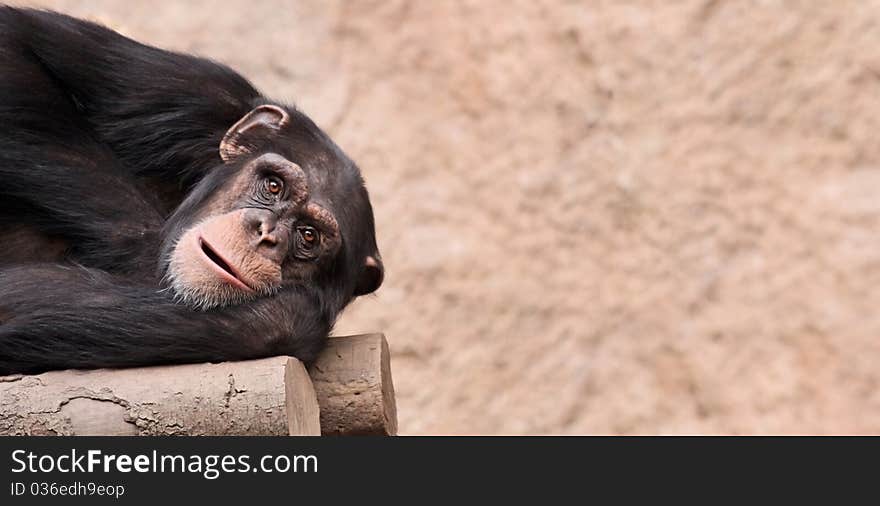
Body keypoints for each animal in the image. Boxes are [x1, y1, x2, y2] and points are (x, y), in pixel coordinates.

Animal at [0, 5, 382, 374]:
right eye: (274, 186)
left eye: (308, 236)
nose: (266, 234)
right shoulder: (199, 91)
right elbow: (15, 41)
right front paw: (148, 249)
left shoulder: (287, 320)